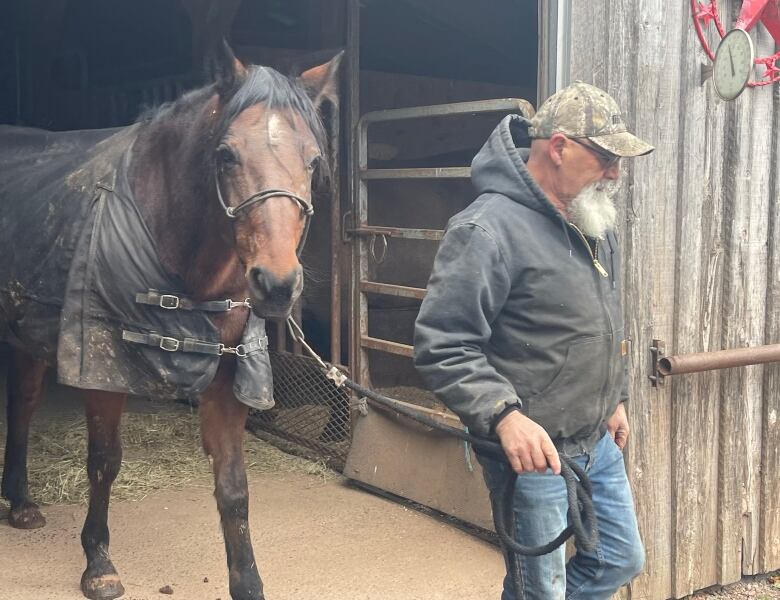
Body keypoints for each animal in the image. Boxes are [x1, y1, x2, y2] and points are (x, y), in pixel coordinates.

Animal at [0, 43, 342, 600]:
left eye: (313, 160)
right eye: (226, 155)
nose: (276, 283)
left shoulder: (229, 376)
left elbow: (234, 486)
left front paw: (248, 582)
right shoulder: (104, 369)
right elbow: (104, 462)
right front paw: (98, 562)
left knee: (23, 404)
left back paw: (21, 503)